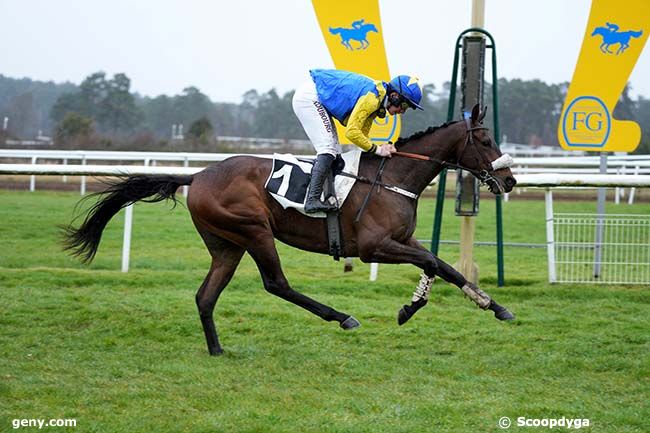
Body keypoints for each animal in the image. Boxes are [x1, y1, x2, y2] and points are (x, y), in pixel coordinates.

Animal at [62, 104, 516, 354]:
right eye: (486, 140)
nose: (509, 180)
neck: (392, 176)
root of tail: (197, 176)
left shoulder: (402, 239)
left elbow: (439, 265)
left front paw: (482, 305)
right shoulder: (375, 246)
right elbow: (437, 265)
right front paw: (428, 307)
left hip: (226, 244)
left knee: (206, 296)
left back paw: (217, 349)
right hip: (254, 230)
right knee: (276, 283)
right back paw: (342, 317)